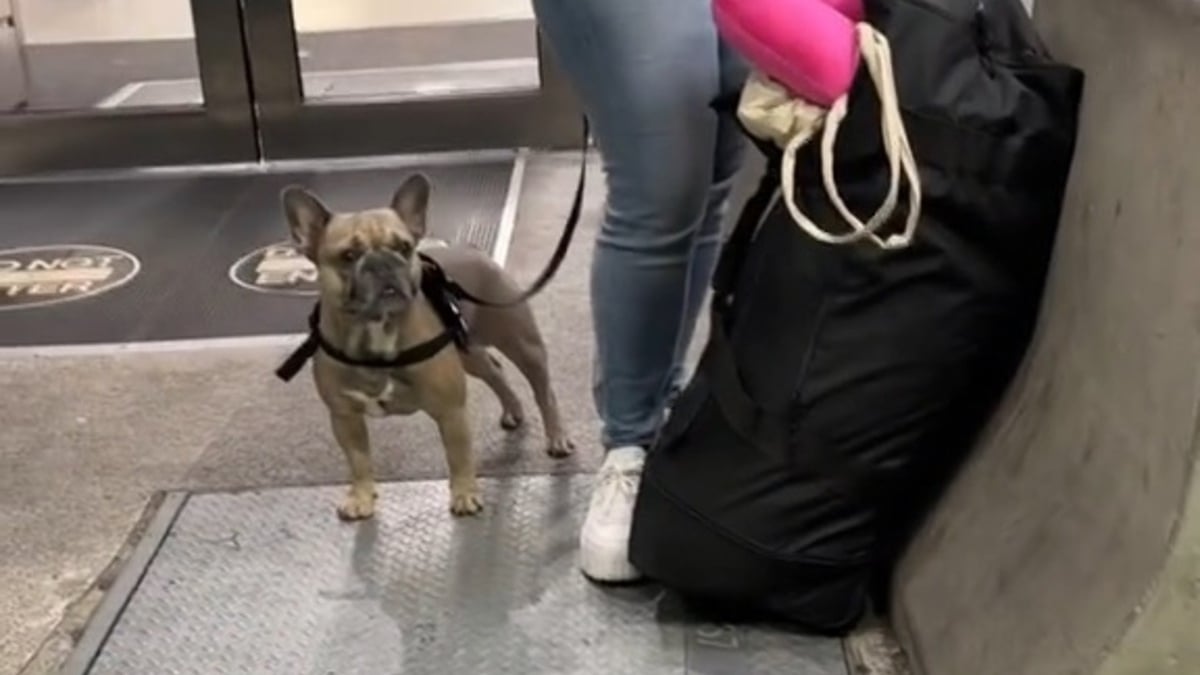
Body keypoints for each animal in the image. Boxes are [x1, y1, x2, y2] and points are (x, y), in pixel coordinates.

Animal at [285, 174, 576, 521]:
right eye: (348, 256)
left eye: (403, 247)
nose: (383, 264)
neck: (377, 331)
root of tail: (476, 251)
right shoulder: (344, 416)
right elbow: (358, 459)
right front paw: (361, 497)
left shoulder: (450, 410)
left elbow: (458, 454)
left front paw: (465, 495)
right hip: (467, 351)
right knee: (495, 371)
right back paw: (513, 410)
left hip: (520, 342)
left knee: (543, 391)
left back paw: (557, 437)